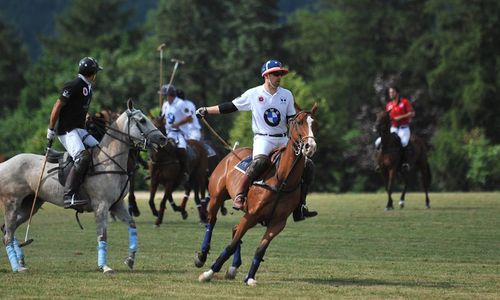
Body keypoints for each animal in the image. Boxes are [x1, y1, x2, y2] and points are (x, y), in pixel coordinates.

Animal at [0, 99, 167, 274]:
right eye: (142, 120)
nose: (163, 139)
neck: (110, 161)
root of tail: (4, 164)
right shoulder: (101, 205)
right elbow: (102, 235)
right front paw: (104, 266)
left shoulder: (117, 205)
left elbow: (132, 225)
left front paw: (130, 260)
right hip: (12, 203)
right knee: (7, 235)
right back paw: (17, 267)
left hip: (30, 205)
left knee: (7, 229)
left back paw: (20, 261)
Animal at [197, 103, 318, 286]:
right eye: (299, 122)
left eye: (315, 123)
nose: (310, 147)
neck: (282, 179)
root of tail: (232, 152)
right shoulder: (252, 214)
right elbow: (230, 246)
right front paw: (208, 273)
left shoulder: (277, 223)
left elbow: (260, 249)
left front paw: (250, 277)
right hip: (217, 197)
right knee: (211, 222)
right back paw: (202, 256)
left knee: (234, 228)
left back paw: (233, 268)